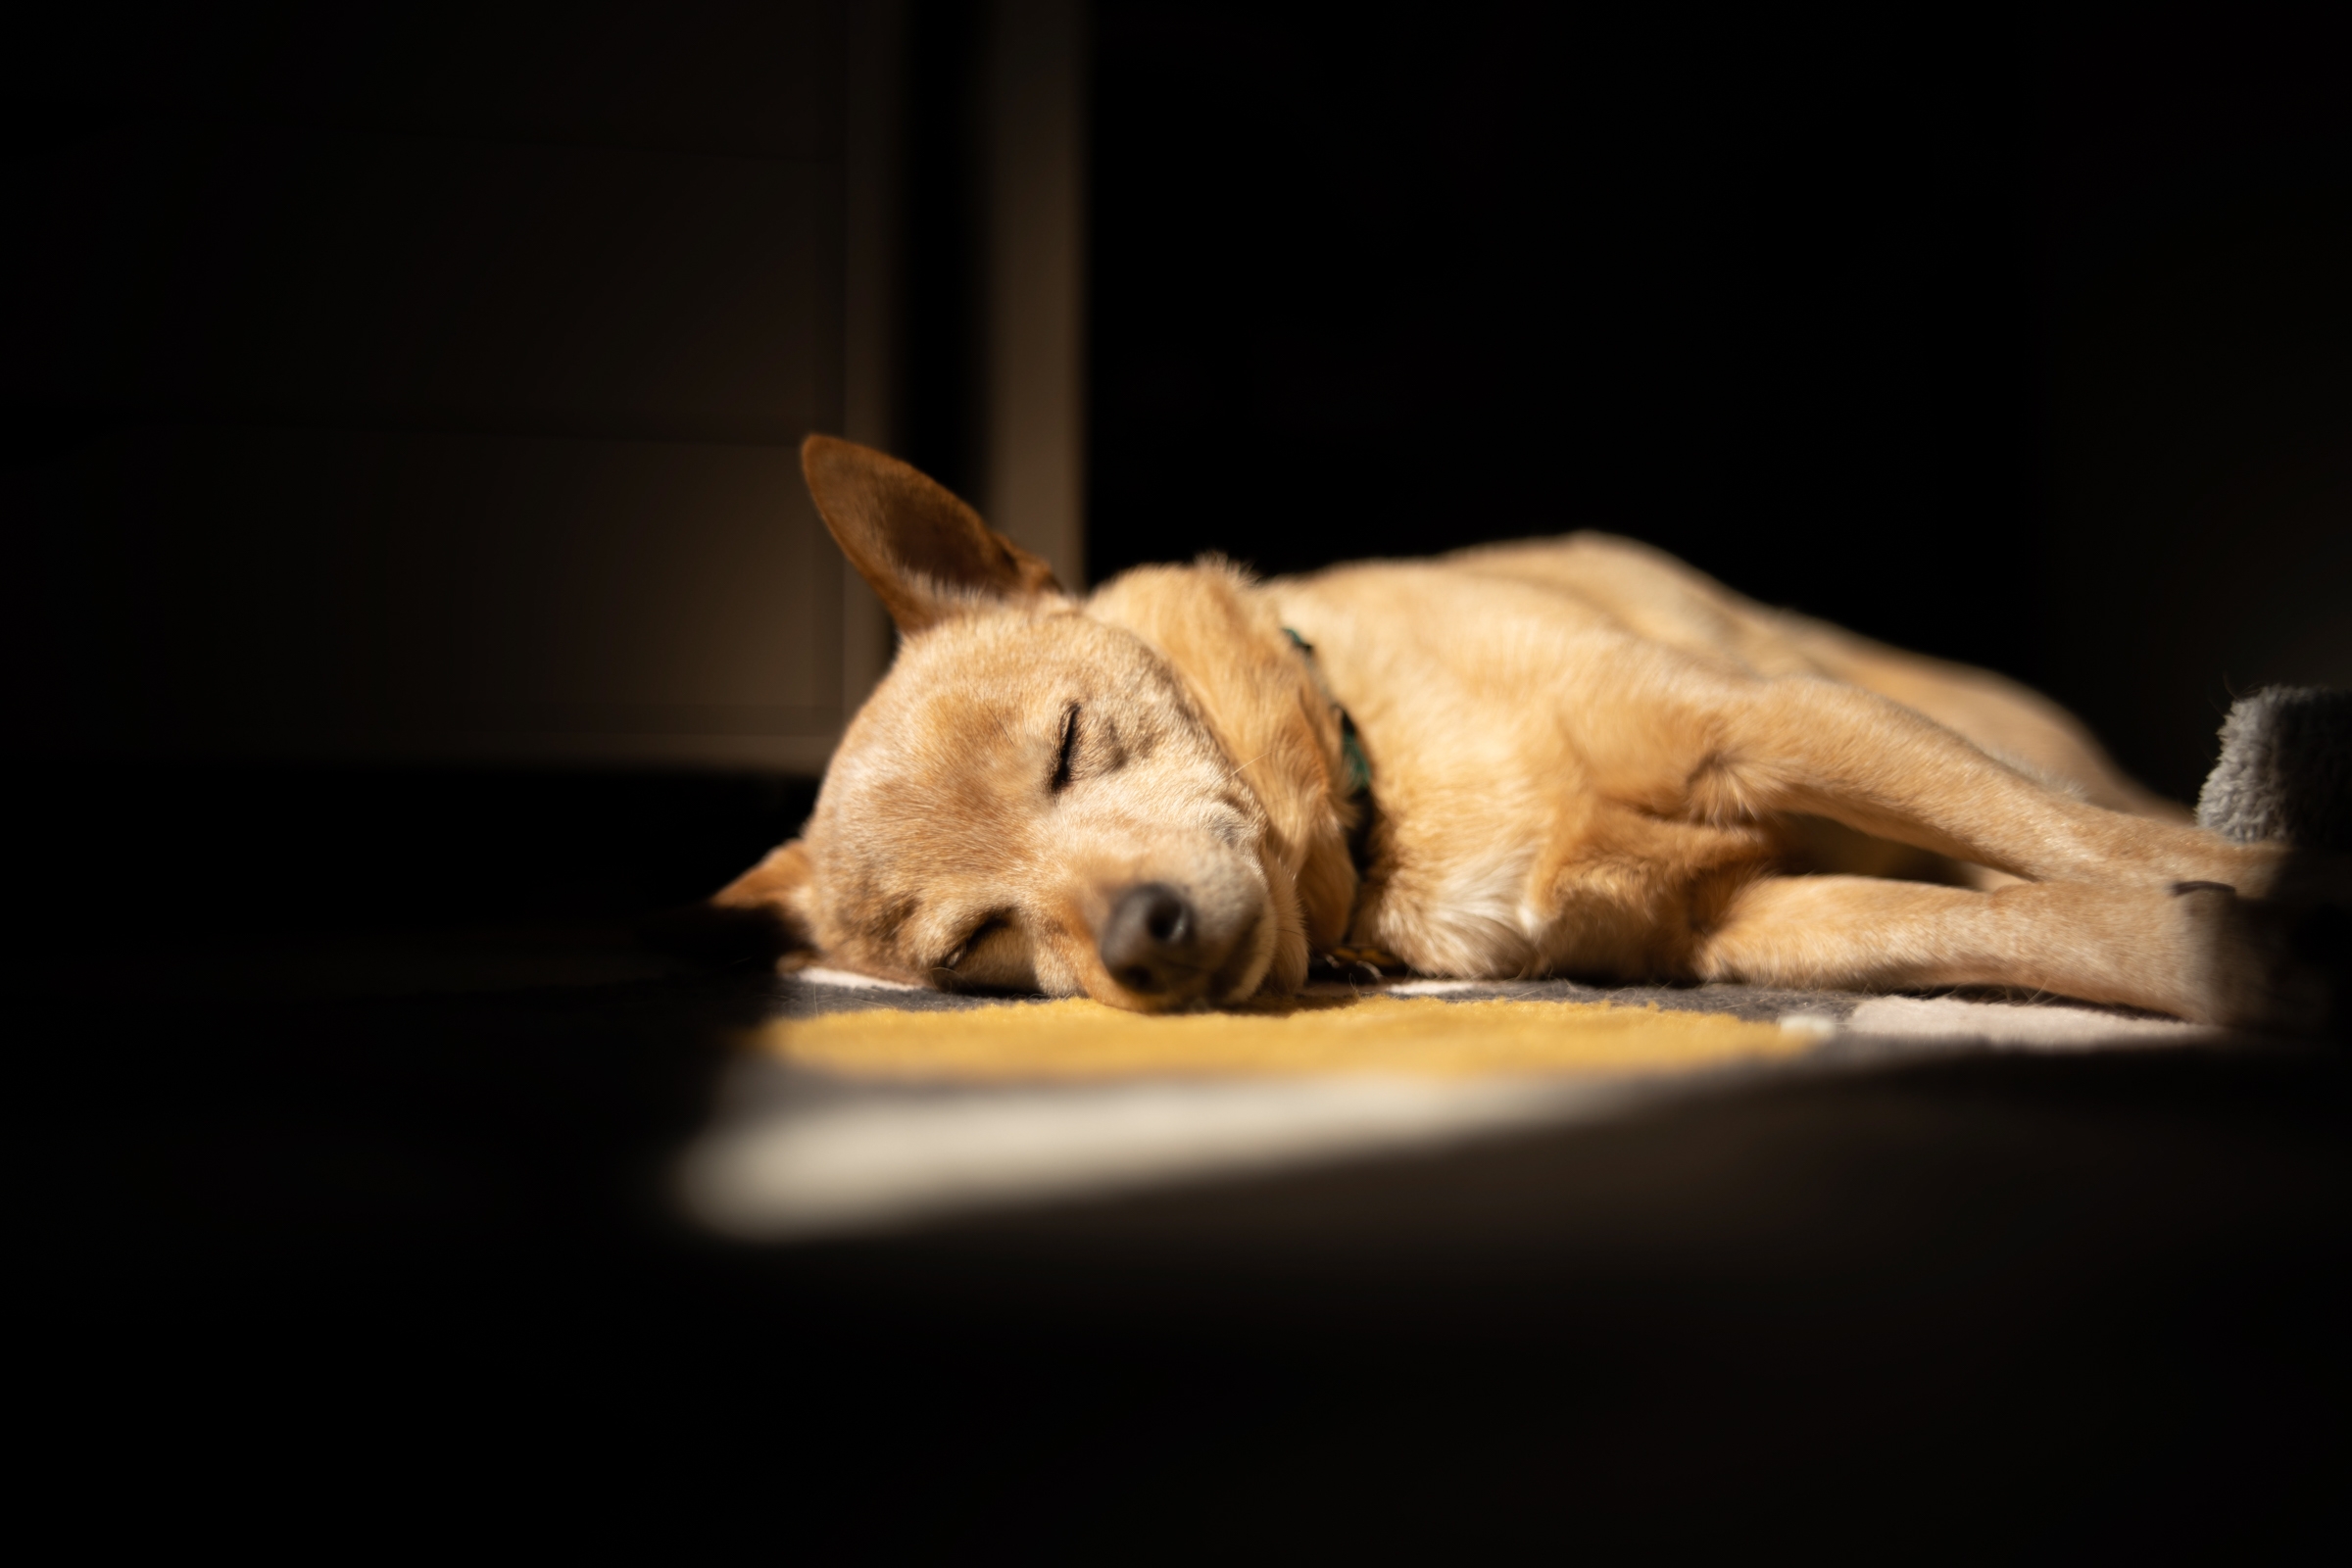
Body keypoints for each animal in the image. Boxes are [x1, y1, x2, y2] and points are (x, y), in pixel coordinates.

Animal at [687, 435, 2335, 1030]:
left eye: (1071, 746)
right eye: (980, 945)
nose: (1144, 938)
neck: (1384, 808)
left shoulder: (1761, 723)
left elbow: (2064, 837)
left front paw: (2270, 885)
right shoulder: (1737, 924)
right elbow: (2011, 929)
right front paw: (2224, 958)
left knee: (2083, 801)